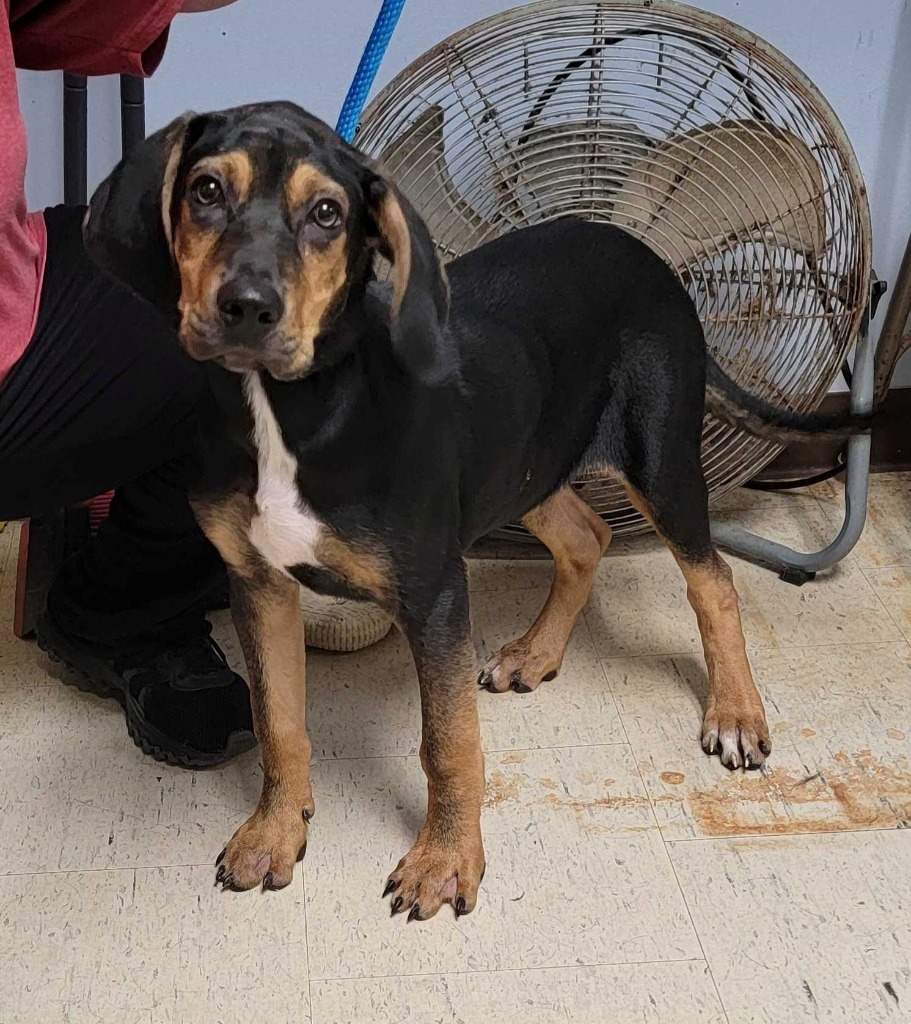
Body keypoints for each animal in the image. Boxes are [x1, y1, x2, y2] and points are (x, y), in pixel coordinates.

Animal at [81, 101, 863, 921]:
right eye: (205, 190)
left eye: (327, 213)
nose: (247, 309)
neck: (289, 410)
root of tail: (648, 255)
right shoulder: (258, 583)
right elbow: (279, 721)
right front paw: (274, 832)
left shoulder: (432, 593)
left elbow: (447, 743)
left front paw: (445, 861)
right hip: (529, 462)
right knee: (586, 537)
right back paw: (536, 653)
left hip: (660, 460)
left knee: (711, 578)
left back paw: (736, 713)